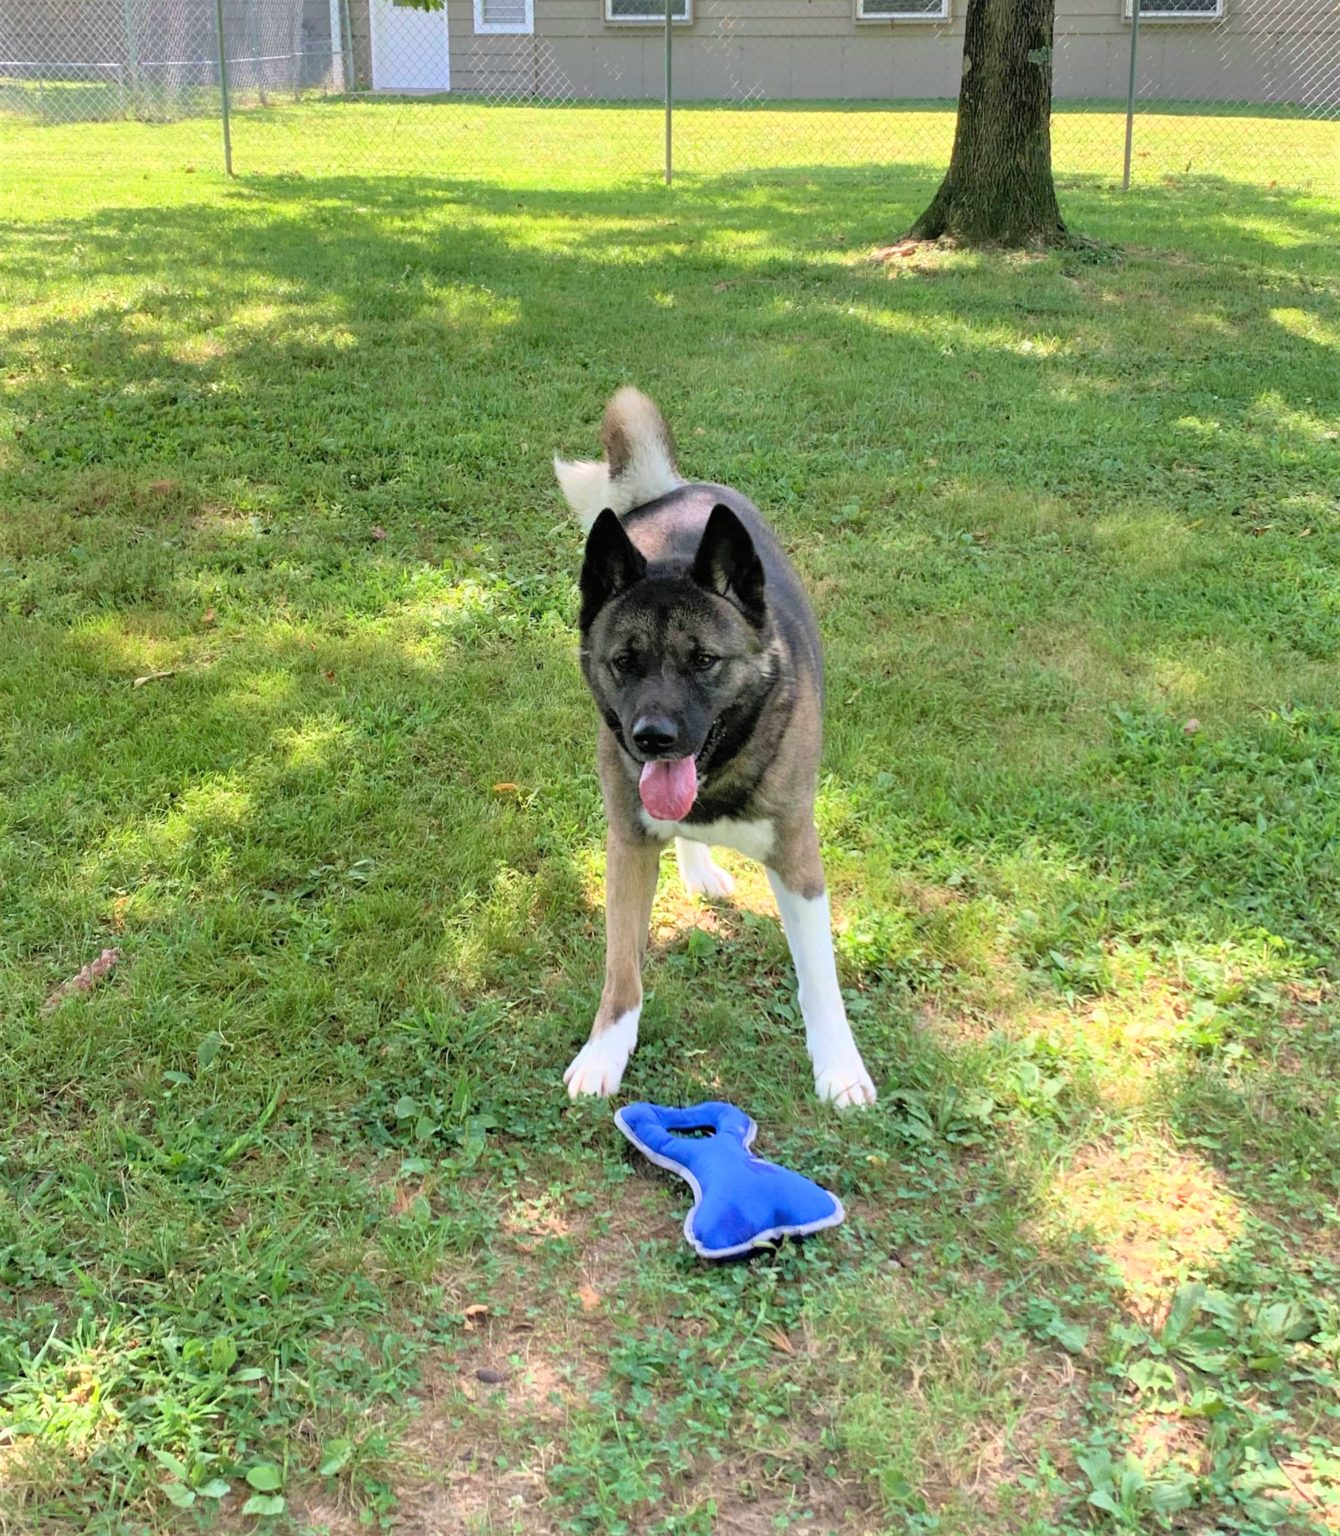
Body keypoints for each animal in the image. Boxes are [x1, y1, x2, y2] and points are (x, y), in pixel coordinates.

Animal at [550, 390, 872, 1112]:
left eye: (703, 661)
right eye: (624, 662)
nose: (653, 737)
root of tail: (671, 491)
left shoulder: (798, 857)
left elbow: (821, 977)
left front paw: (840, 1067)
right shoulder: (628, 843)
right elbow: (622, 968)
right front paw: (605, 1050)